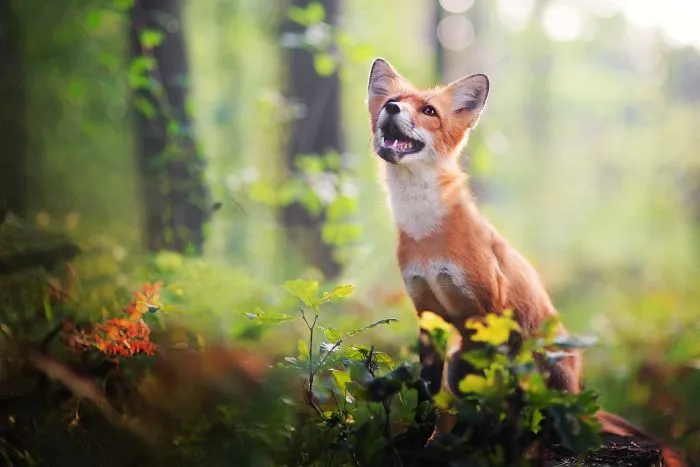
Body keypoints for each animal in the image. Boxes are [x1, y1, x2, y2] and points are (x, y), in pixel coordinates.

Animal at [366, 57, 686, 466]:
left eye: (429, 111)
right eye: (390, 101)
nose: (391, 109)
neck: (427, 236)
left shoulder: (490, 311)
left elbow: (491, 392)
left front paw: (473, 442)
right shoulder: (428, 314)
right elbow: (427, 391)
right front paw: (420, 440)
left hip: (540, 362)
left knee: (546, 417)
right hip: (459, 359)